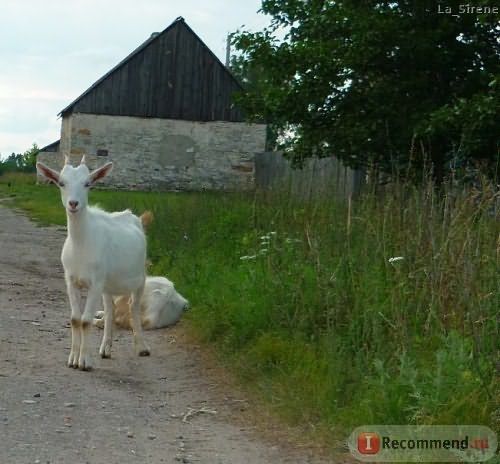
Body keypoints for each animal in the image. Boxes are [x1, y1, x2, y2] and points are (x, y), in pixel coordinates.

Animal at [37, 155, 150, 370]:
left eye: (87, 183)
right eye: (61, 183)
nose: (73, 203)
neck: (81, 244)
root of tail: (130, 215)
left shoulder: (95, 282)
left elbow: (86, 320)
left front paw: (84, 361)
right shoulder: (71, 280)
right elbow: (75, 319)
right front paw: (73, 359)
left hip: (140, 278)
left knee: (134, 307)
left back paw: (141, 347)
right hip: (107, 284)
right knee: (110, 309)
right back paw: (105, 348)